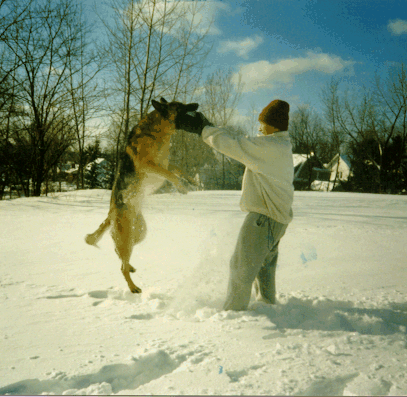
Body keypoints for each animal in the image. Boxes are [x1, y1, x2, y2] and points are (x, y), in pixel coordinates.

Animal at [85, 97, 200, 292]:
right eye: (180, 106)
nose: (197, 105)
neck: (156, 133)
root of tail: (110, 214)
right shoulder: (150, 166)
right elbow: (172, 175)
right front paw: (181, 188)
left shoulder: (165, 164)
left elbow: (178, 170)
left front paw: (193, 181)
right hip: (128, 238)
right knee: (121, 266)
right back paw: (133, 287)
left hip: (138, 234)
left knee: (119, 253)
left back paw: (131, 267)